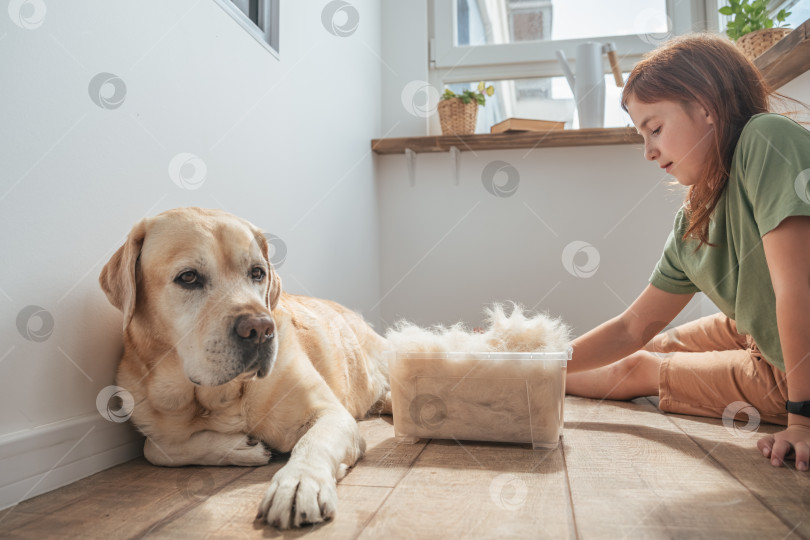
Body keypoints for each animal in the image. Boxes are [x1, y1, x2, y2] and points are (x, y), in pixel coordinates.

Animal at [99, 207, 390, 528]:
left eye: (257, 273)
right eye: (188, 277)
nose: (261, 329)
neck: (218, 399)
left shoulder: (331, 413)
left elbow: (313, 442)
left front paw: (298, 483)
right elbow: (154, 449)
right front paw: (241, 447)